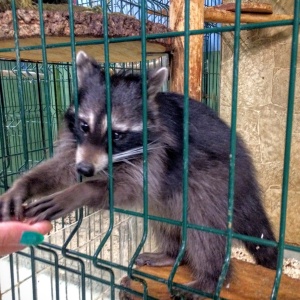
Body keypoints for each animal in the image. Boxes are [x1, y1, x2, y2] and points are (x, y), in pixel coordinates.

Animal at [0, 51, 278, 298]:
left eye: (116, 134)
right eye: (84, 125)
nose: (86, 170)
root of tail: (245, 175)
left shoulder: (158, 155)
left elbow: (129, 188)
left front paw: (80, 191)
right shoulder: (78, 145)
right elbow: (63, 165)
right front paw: (25, 185)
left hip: (214, 181)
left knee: (203, 226)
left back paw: (211, 278)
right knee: (163, 219)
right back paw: (171, 253)